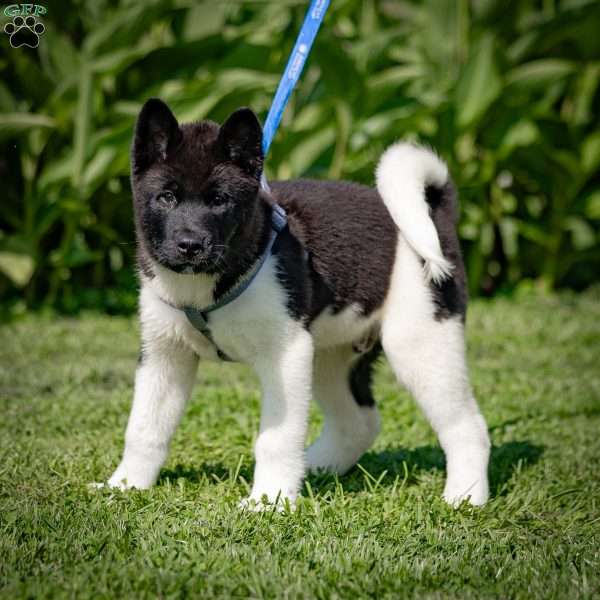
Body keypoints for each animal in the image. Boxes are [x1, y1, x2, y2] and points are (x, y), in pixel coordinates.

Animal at [101, 98, 490, 506]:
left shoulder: (285, 353)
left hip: (421, 341)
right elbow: (144, 428)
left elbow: (276, 438)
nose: (189, 245)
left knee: (467, 425)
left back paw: (465, 497)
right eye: (167, 197)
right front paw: (124, 486)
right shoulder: (165, 354)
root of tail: (436, 213)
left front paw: (268, 501)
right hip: (331, 356)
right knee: (360, 422)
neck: (208, 285)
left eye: (220, 200)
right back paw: (315, 467)